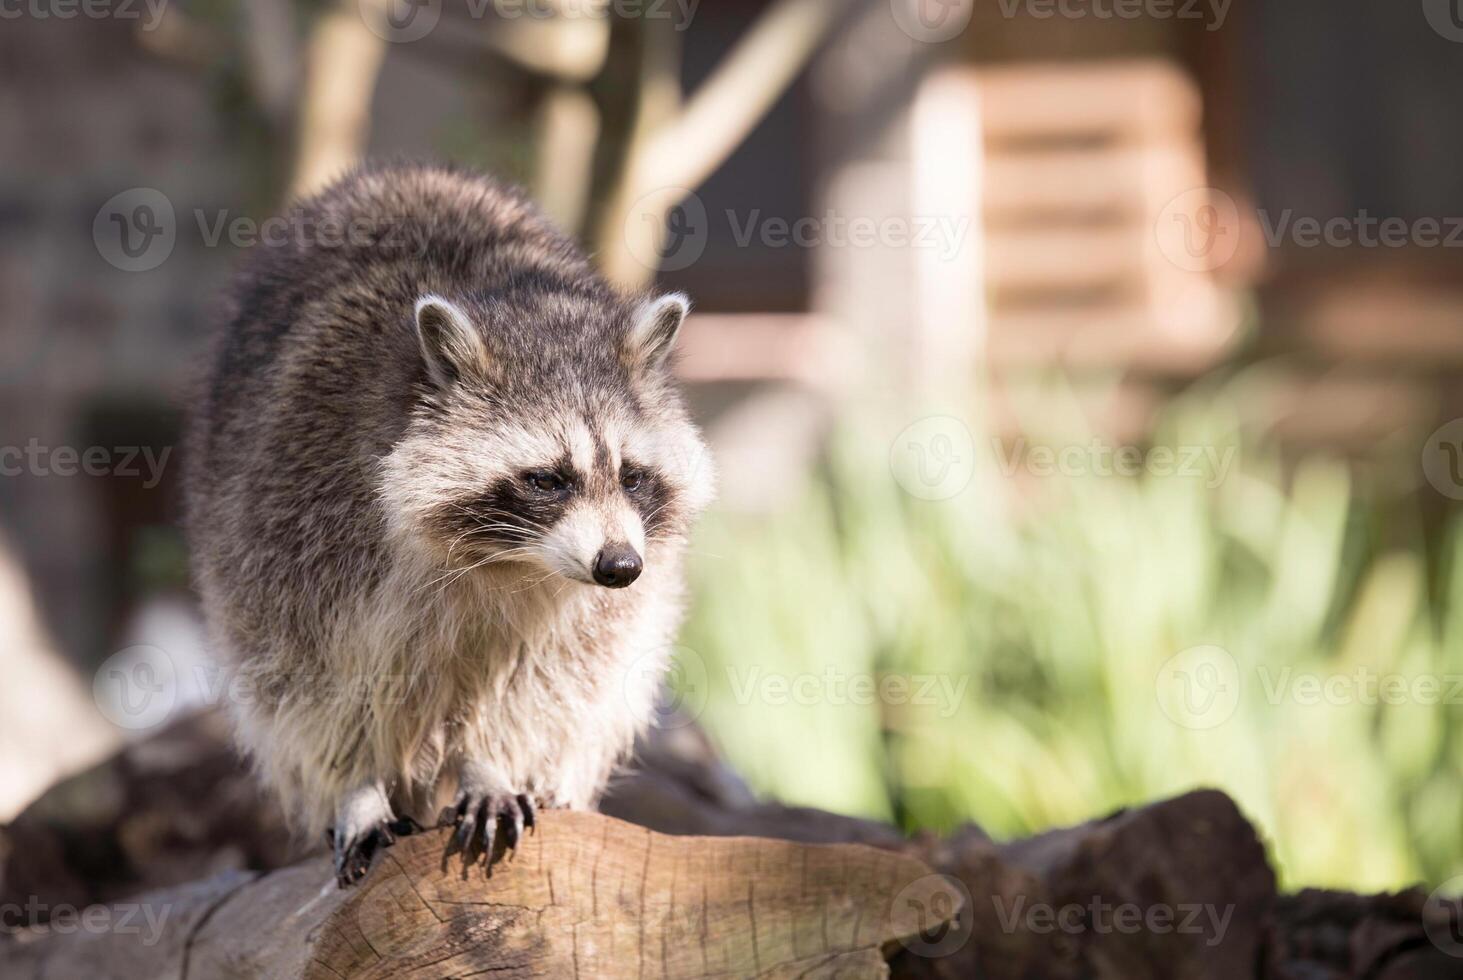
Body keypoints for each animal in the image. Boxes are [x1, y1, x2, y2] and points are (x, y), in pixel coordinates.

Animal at [188, 163, 713, 889]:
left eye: (632, 475)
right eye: (549, 479)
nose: (619, 566)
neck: (505, 557)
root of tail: (406, 172)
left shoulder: (593, 605)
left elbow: (549, 679)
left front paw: (489, 763)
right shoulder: (293, 516)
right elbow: (304, 678)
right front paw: (356, 785)